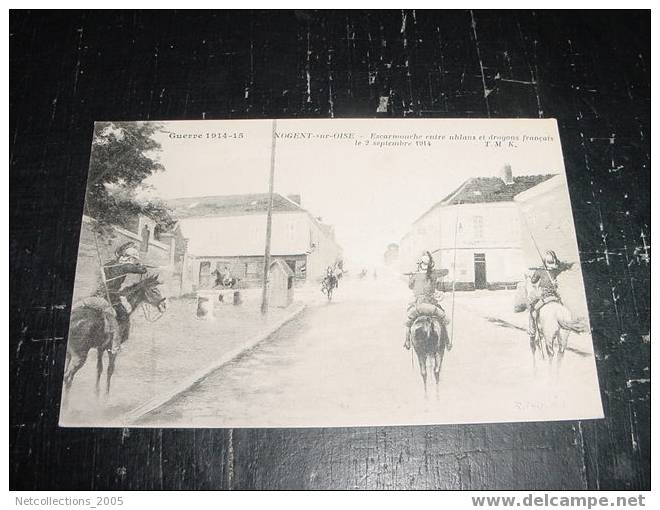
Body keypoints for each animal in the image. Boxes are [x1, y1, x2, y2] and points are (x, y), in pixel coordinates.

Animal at [63, 272, 168, 400]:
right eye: (154, 290)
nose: (163, 305)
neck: (124, 308)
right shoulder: (112, 349)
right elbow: (110, 370)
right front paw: (106, 396)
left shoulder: (101, 348)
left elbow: (99, 369)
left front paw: (97, 393)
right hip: (79, 356)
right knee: (68, 377)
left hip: (69, 354)